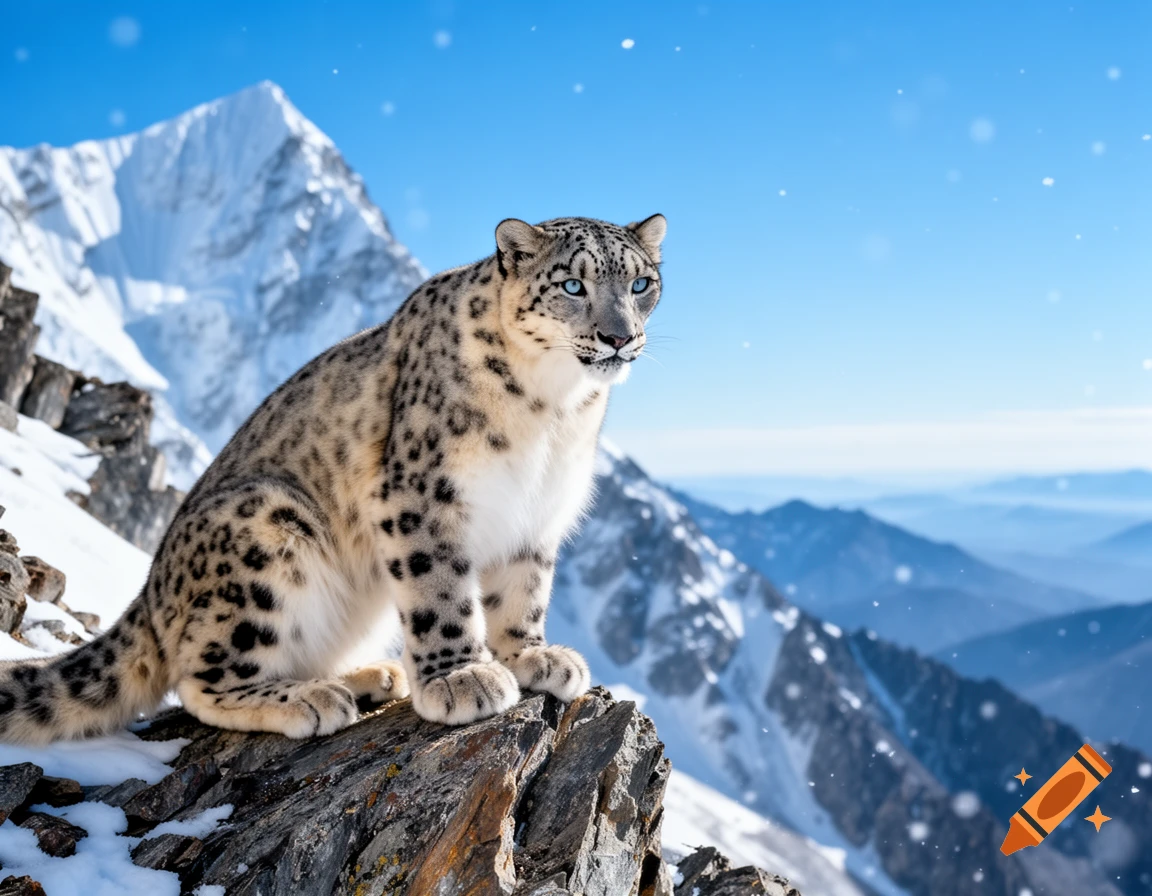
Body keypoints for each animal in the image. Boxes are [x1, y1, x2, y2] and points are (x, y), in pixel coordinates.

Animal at [0, 214, 666, 743]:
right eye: (573, 284)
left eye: (641, 284)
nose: (619, 337)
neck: (554, 410)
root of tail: (151, 592)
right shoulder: (424, 496)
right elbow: (441, 590)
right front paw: (461, 677)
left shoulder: (536, 511)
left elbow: (522, 591)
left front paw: (533, 657)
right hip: (266, 530)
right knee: (200, 680)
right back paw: (313, 699)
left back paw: (371, 675)